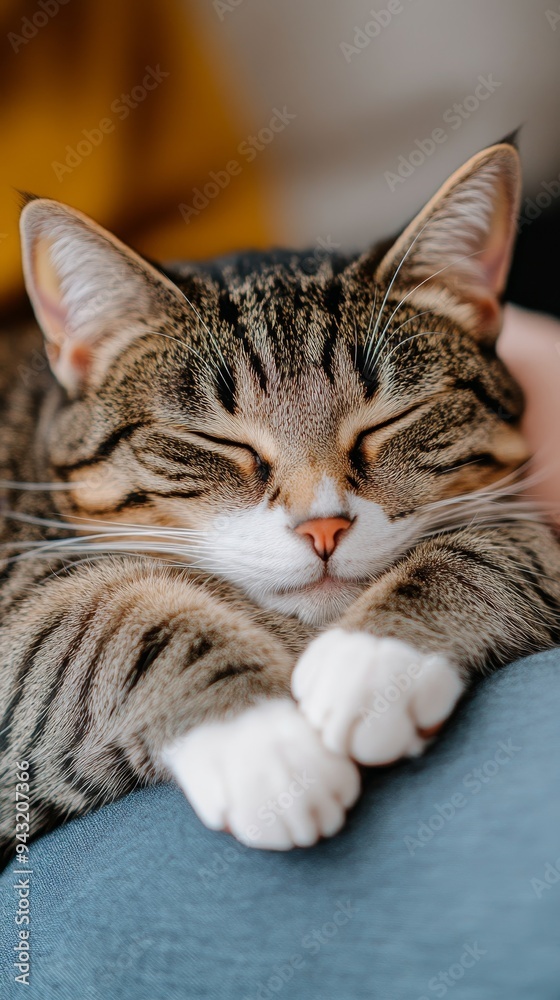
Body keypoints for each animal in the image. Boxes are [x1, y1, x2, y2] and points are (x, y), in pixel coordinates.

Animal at [1, 143, 560, 868]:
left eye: (389, 422)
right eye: (218, 441)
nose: (324, 527)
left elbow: (501, 547)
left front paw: (371, 660)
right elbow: (108, 625)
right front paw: (265, 747)